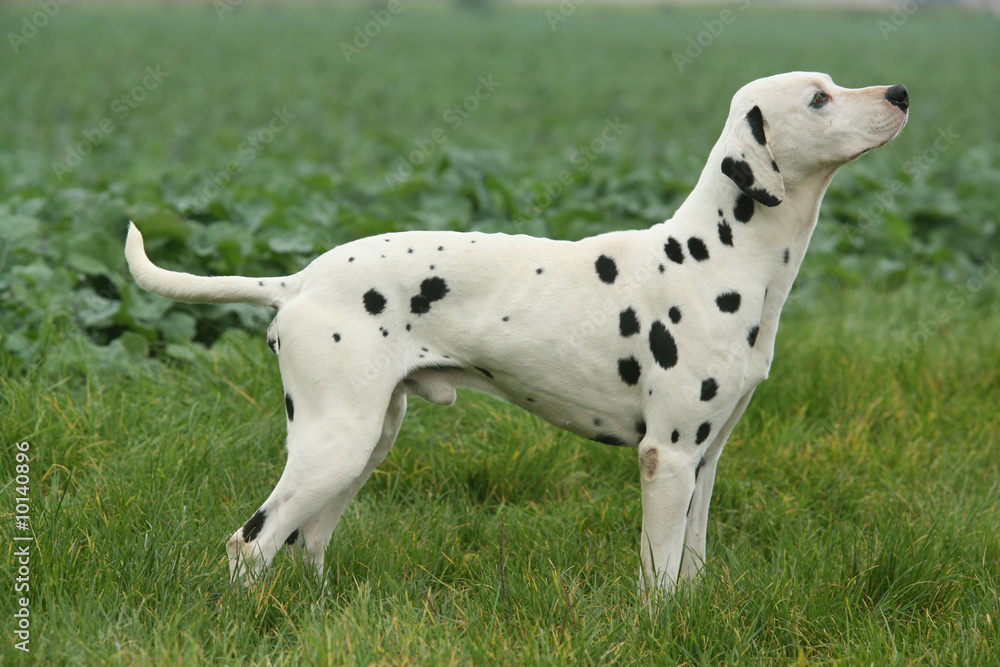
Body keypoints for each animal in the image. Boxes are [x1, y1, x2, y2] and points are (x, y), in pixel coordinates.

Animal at [125, 73, 908, 592]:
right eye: (819, 98)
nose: (900, 92)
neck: (715, 256)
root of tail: (298, 281)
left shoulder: (705, 461)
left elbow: (690, 566)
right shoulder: (666, 459)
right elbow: (657, 579)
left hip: (365, 443)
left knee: (307, 538)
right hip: (333, 445)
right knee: (251, 543)